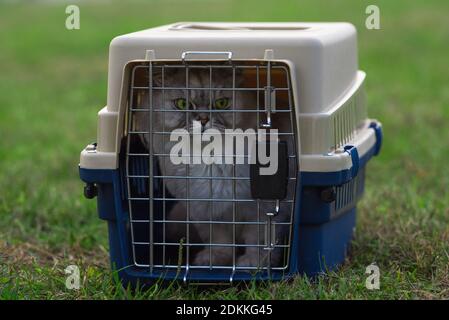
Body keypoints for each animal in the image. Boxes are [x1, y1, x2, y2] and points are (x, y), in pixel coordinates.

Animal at [133, 66, 294, 268]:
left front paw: (253, 264)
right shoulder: (204, 210)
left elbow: (259, 240)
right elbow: (219, 241)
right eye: (182, 104)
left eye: (221, 103)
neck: (206, 160)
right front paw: (214, 260)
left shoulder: (266, 209)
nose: (203, 119)